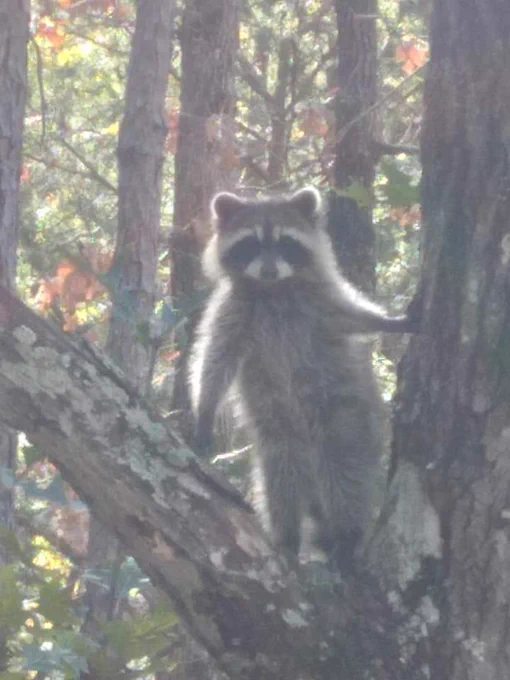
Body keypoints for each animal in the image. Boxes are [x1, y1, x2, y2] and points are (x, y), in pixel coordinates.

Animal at [189, 187, 414, 568]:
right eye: (251, 244)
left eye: (285, 243)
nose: (267, 270)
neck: (274, 291)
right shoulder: (233, 311)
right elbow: (214, 361)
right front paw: (205, 410)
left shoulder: (320, 304)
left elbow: (356, 317)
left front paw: (389, 321)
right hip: (279, 430)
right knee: (280, 472)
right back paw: (288, 535)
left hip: (345, 415)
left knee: (344, 467)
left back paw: (347, 534)